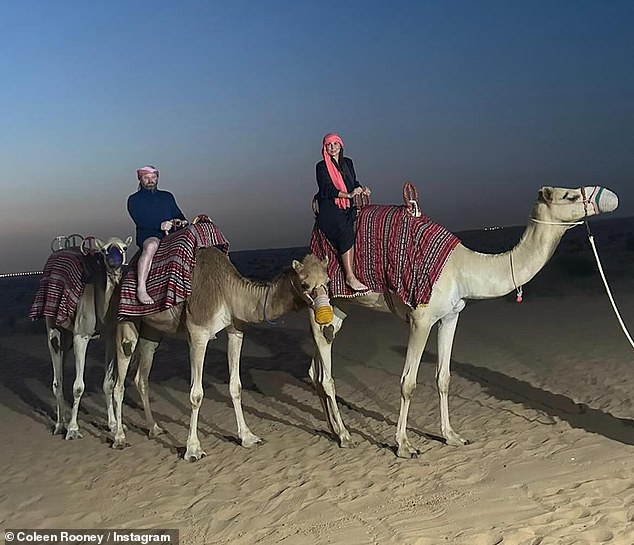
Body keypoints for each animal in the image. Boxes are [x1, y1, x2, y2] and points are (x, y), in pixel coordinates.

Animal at [32, 236, 132, 440]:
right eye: (104, 250)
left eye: (124, 248)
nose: (114, 262)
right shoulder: (81, 336)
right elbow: (78, 387)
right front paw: (73, 429)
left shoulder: (110, 335)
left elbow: (108, 384)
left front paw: (112, 425)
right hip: (53, 328)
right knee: (57, 379)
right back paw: (60, 425)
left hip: (67, 336)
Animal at [112, 246, 330, 460]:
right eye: (304, 284)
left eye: (328, 280)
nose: (325, 316)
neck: (228, 291)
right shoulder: (198, 334)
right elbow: (196, 394)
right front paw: (193, 449)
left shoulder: (236, 330)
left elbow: (236, 386)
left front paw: (248, 437)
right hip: (124, 321)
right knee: (119, 377)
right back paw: (119, 437)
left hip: (152, 329)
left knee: (142, 376)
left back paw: (154, 428)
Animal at [306, 185, 616, 456]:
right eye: (569, 195)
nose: (610, 196)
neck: (463, 268)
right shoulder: (421, 318)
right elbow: (408, 382)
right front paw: (404, 446)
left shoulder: (450, 316)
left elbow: (443, 377)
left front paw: (452, 436)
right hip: (317, 302)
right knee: (327, 376)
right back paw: (346, 436)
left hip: (338, 311)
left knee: (317, 370)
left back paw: (334, 431)